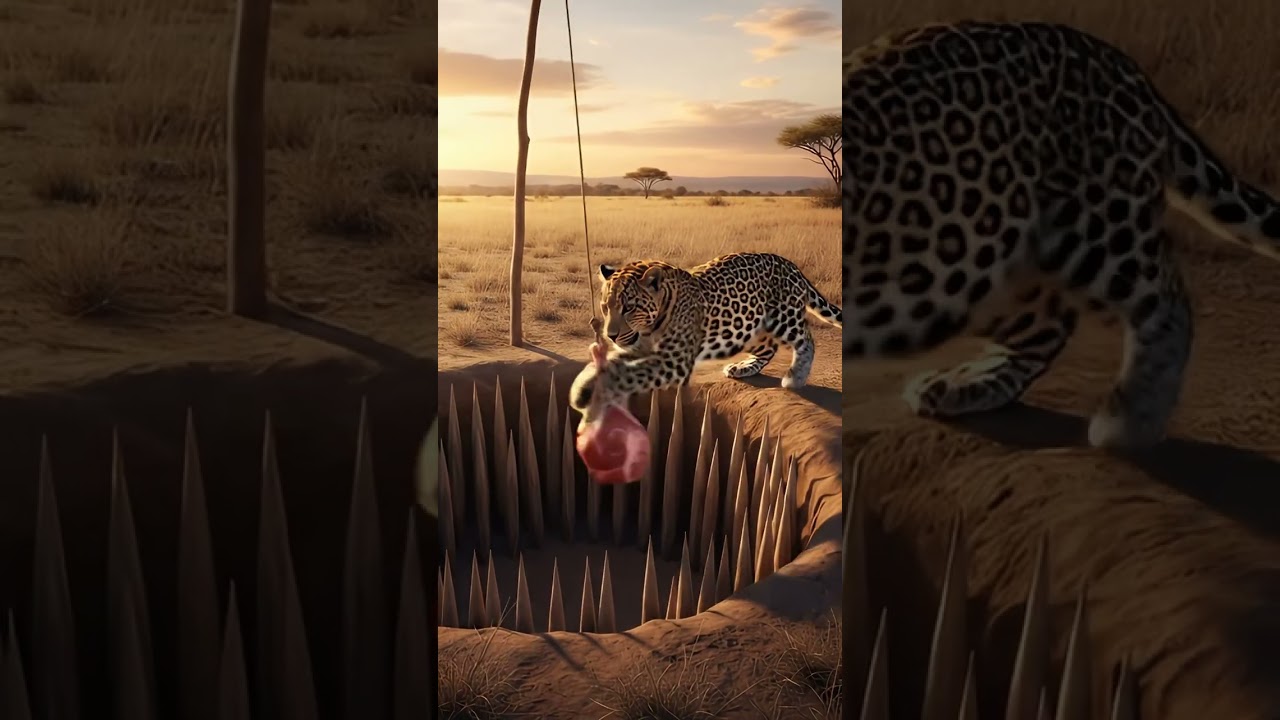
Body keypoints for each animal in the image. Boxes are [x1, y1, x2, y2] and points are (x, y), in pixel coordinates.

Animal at [569, 252, 841, 425]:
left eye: (629, 308)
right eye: (605, 307)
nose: (610, 335)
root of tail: (790, 265)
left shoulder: (674, 361)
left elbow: (629, 374)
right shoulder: (640, 349)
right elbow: (614, 365)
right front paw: (584, 384)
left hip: (783, 317)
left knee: (806, 339)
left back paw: (796, 376)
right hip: (746, 325)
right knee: (768, 348)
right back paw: (744, 367)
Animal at [845, 20, 1280, 449]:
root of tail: (1117, 61)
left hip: (1097, 226)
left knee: (1167, 299)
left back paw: (1132, 419)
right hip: (972, 262)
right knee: (1049, 321)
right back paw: (965, 383)